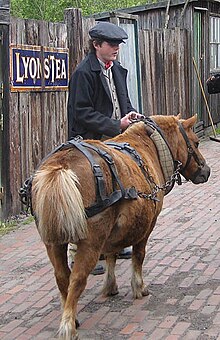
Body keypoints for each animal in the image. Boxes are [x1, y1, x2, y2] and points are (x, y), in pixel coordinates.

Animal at [29, 115, 210, 338]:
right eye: (196, 143)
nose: (206, 171)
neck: (151, 145)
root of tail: (61, 165)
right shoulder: (149, 224)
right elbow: (138, 255)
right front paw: (139, 287)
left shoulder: (112, 232)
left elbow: (111, 255)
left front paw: (110, 285)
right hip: (90, 243)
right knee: (77, 278)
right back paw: (67, 325)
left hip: (53, 243)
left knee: (63, 278)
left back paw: (72, 316)